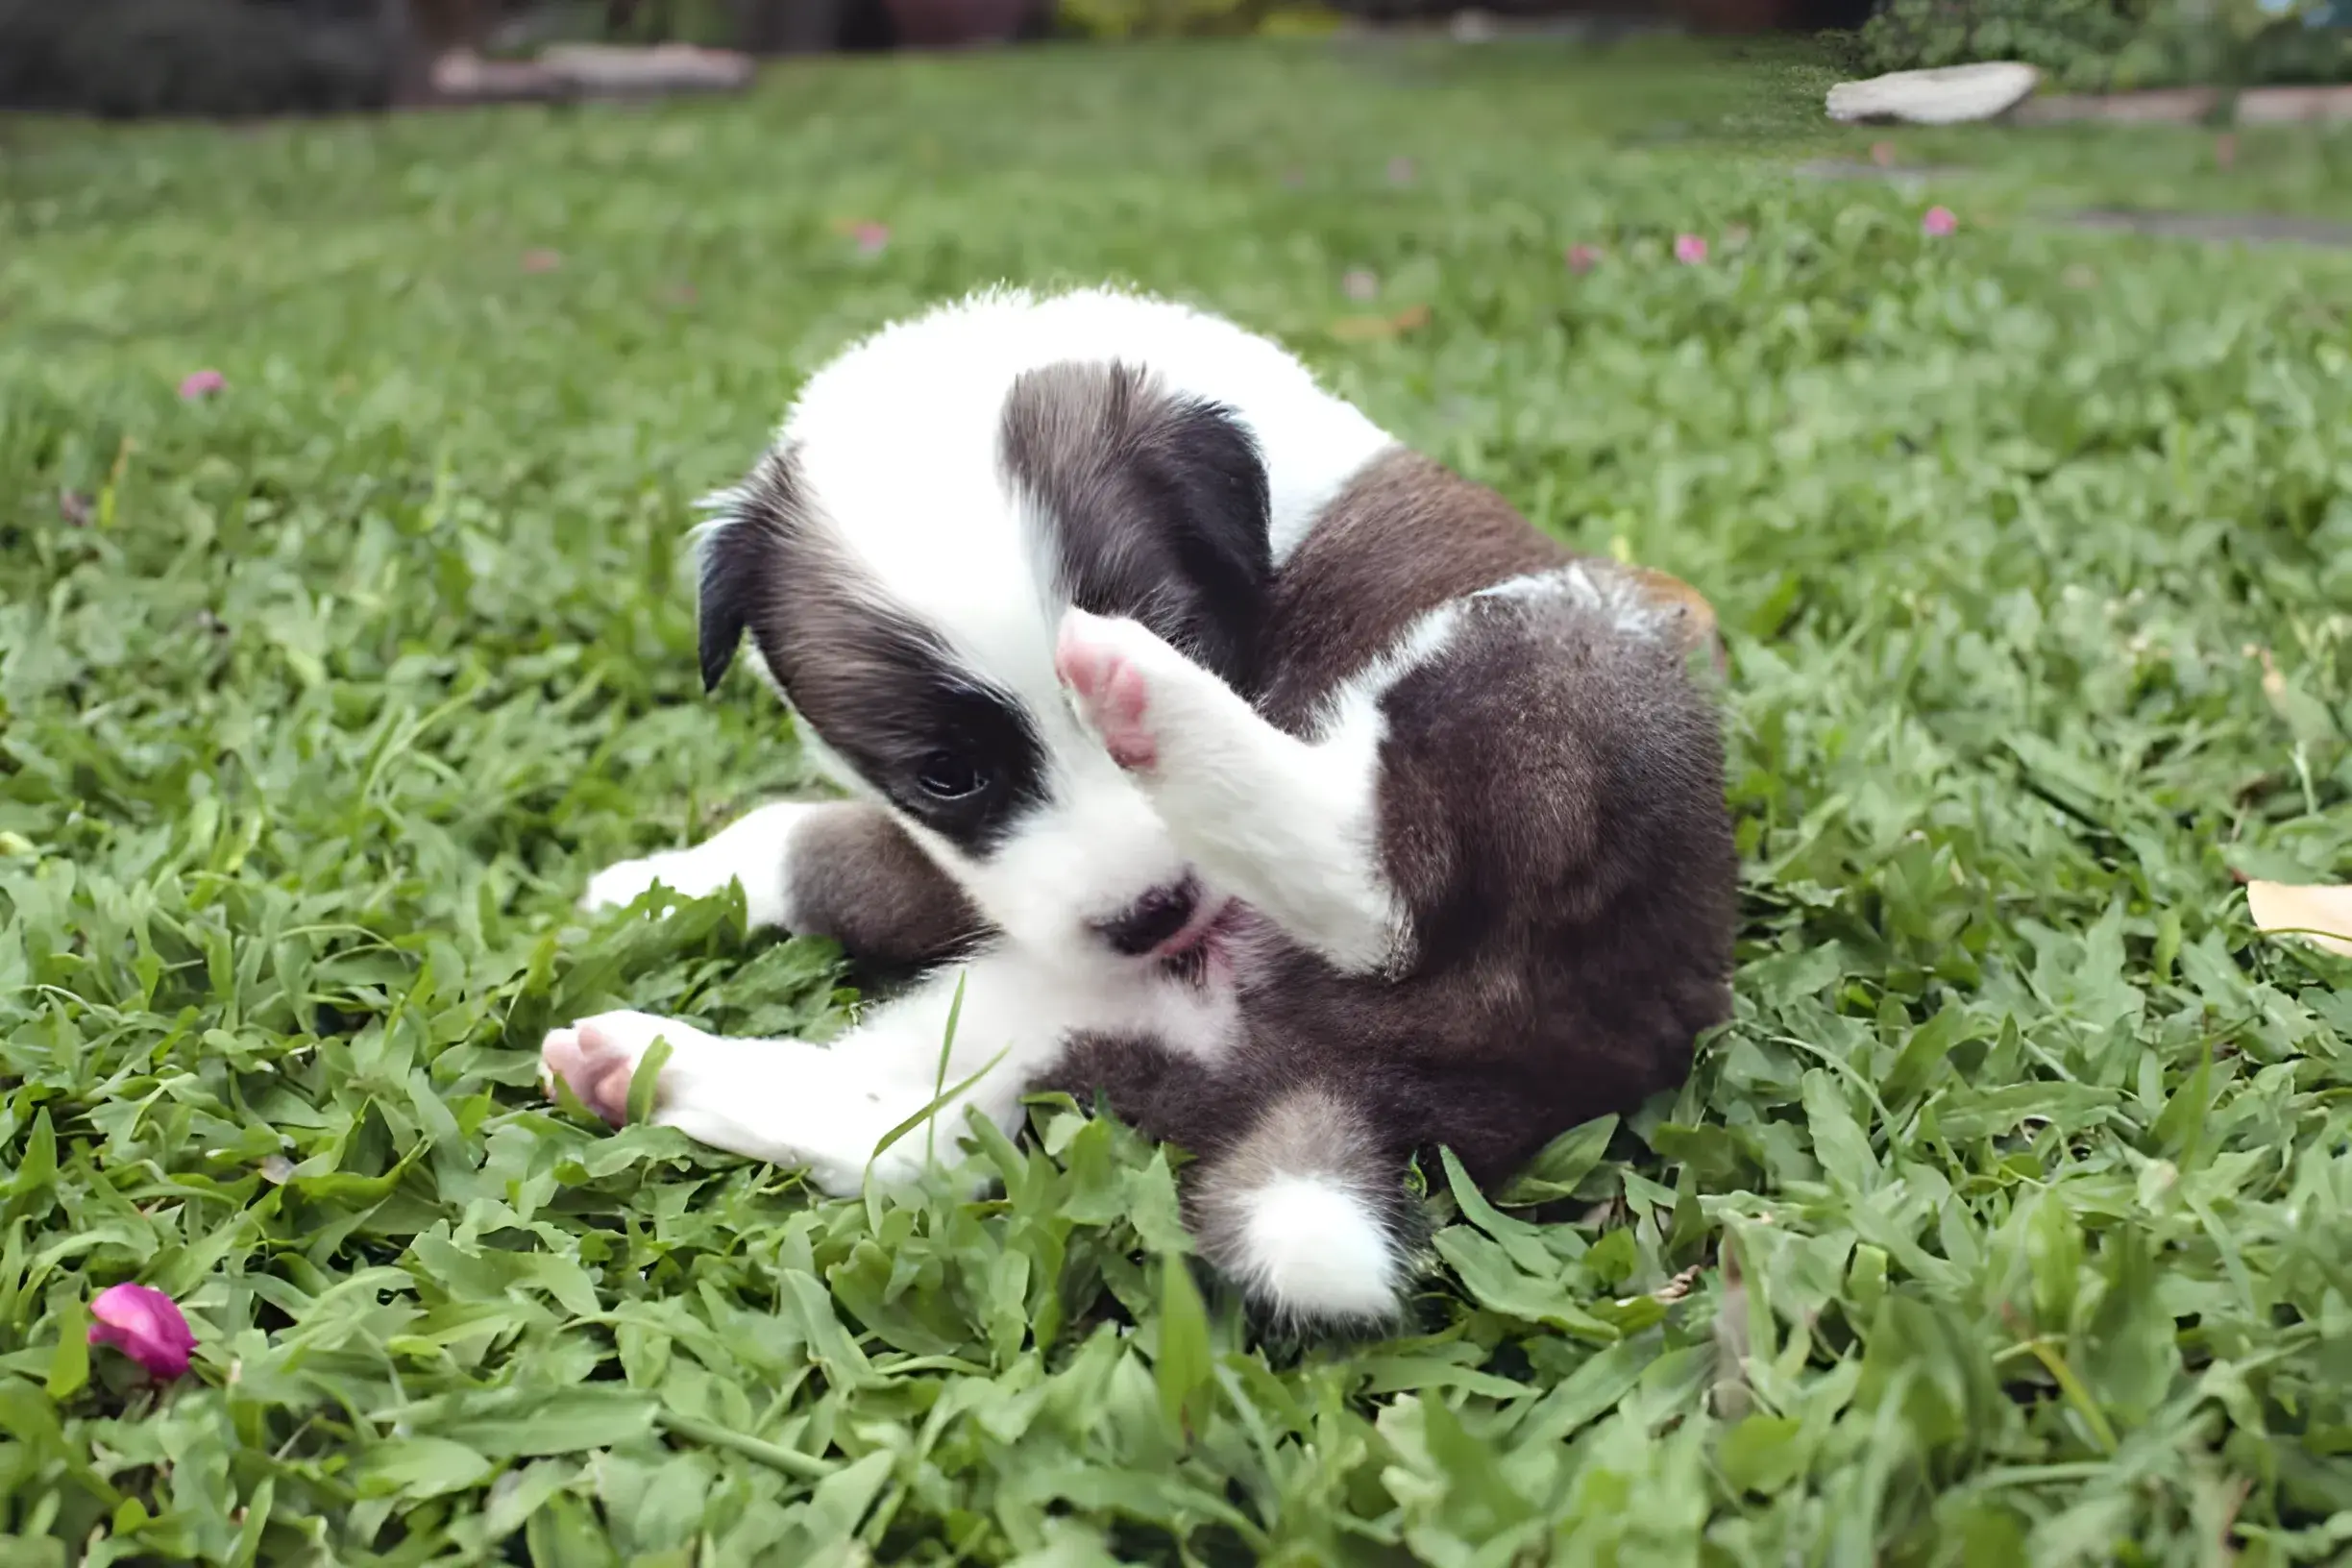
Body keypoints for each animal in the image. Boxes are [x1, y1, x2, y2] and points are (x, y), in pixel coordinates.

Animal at [541, 287, 1740, 1335]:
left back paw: (1142, 690)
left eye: (1194, 627)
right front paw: (651, 885)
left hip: (1549, 674)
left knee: (1382, 892)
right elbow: (821, 847)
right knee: (911, 1141)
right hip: (1078, 1029)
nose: (1156, 918)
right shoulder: (988, 871)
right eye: (947, 773)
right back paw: (639, 1066)